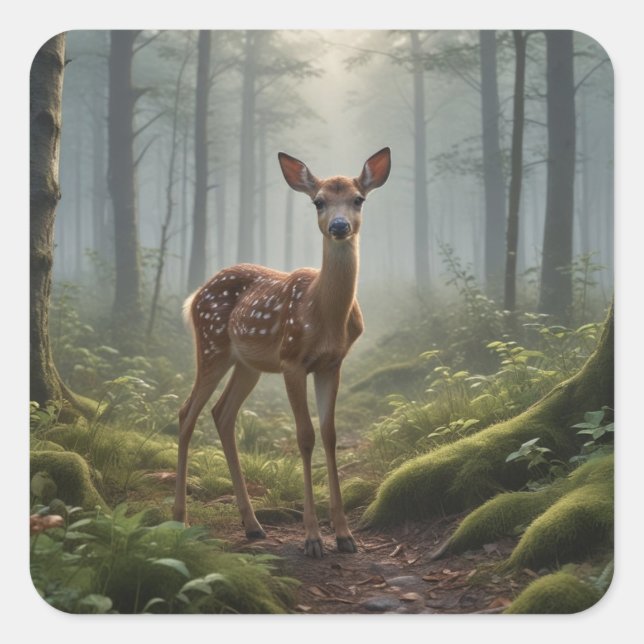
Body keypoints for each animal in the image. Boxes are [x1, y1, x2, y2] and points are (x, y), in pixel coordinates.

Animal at [173, 147, 391, 558]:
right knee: (186, 413)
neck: (323, 314)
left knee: (222, 413)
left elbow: (330, 434)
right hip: (211, 345)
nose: (339, 226)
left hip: (248, 364)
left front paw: (344, 535)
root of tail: (193, 296)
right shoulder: (292, 361)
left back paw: (253, 525)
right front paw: (312, 538)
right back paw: (179, 518)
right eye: (318, 201)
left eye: (358, 199)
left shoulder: (332, 364)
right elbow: (304, 436)